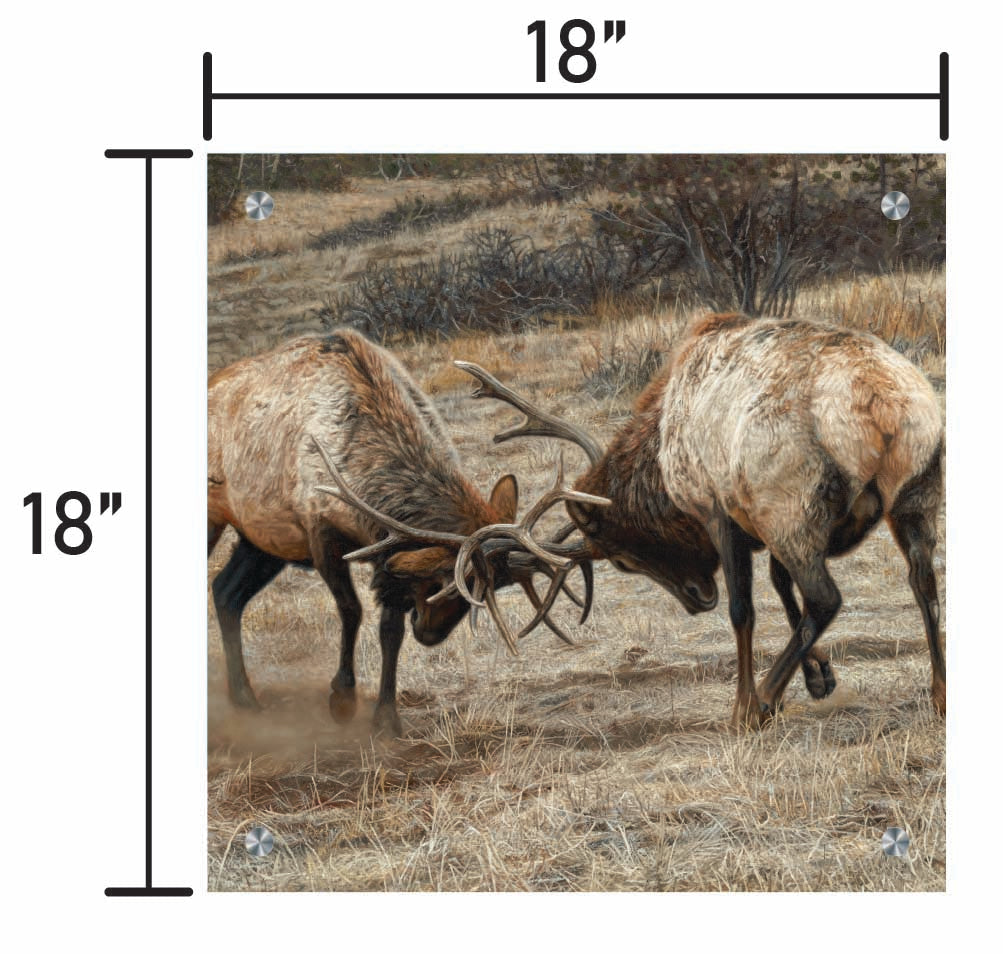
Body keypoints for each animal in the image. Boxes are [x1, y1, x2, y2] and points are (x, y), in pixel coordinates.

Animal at [208, 330, 605, 735]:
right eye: (446, 580)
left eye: (490, 588)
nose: (430, 634)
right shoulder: (320, 533)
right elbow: (351, 610)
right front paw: (342, 699)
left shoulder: (383, 554)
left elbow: (390, 633)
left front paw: (386, 718)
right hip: (221, 520)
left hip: (263, 542)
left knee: (225, 591)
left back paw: (244, 698)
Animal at [451, 313, 945, 728]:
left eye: (622, 560)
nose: (697, 598)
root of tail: (884, 406)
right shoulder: (757, 519)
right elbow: (781, 587)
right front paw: (819, 677)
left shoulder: (721, 511)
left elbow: (743, 610)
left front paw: (748, 702)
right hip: (915, 495)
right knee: (922, 582)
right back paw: (939, 692)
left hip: (791, 503)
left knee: (826, 598)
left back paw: (761, 701)